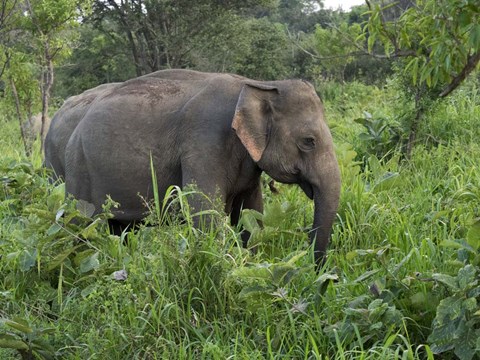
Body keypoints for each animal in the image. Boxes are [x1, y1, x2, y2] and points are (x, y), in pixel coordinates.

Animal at [44, 69, 338, 262]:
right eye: (309, 141)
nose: (316, 270)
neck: (259, 84)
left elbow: (251, 213)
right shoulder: (204, 142)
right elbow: (205, 214)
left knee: (121, 228)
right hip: (76, 167)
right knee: (79, 225)